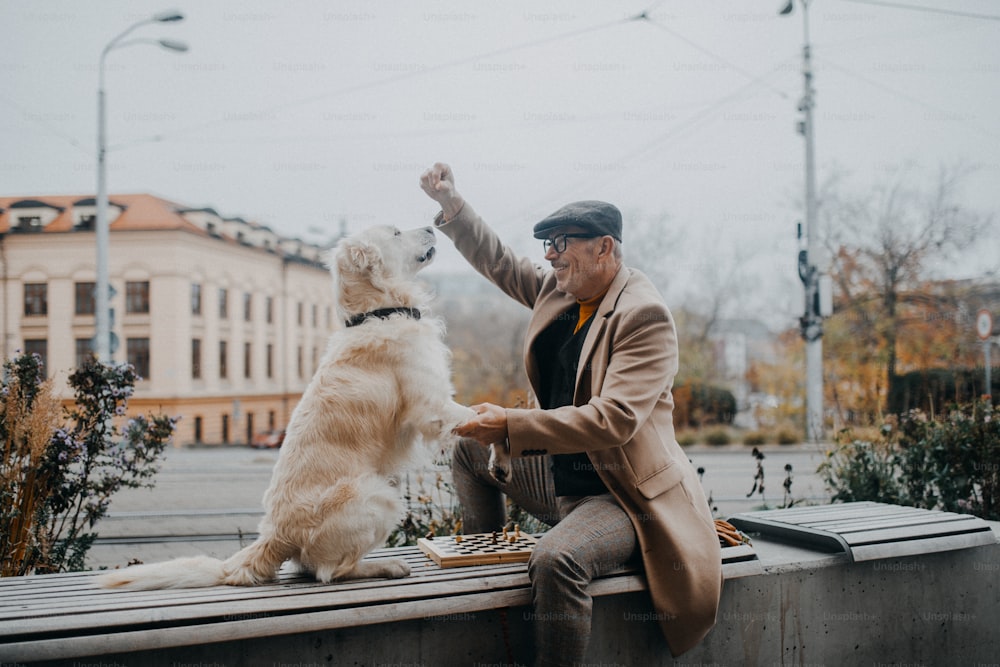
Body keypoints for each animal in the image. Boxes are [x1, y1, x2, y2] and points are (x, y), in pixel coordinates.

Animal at [99, 227, 474, 592]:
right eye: (396, 233)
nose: (431, 227)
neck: (377, 313)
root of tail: (274, 536)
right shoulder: (431, 405)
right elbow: (468, 414)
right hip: (379, 495)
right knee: (330, 571)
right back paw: (386, 565)